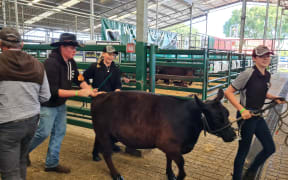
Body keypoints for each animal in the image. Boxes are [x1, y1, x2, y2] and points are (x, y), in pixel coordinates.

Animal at [91, 89, 236, 180]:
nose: (233, 135)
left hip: (103, 132)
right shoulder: (170, 146)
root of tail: (99, 96)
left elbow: (169, 159)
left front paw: (170, 174)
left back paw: (95, 156)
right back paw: (116, 174)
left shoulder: (171, 147)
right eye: (217, 118)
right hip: (104, 133)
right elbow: (181, 167)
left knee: (97, 141)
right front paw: (177, 176)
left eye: (227, 113)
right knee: (107, 154)